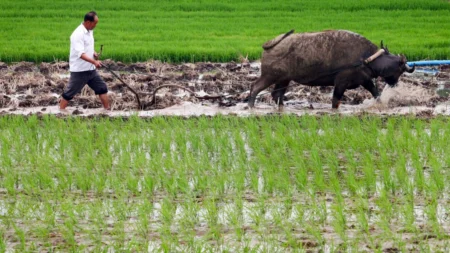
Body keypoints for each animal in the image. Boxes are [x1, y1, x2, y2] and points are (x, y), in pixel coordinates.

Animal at [248, 29, 416, 108]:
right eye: (400, 70)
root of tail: (270, 44)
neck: (365, 58)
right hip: (269, 76)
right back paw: (250, 105)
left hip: (284, 79)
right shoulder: (341, 82)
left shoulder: (365, 80)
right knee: (255, 88)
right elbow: (336, 101)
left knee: (277, 95)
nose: (394, 84)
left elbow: (376, 93)